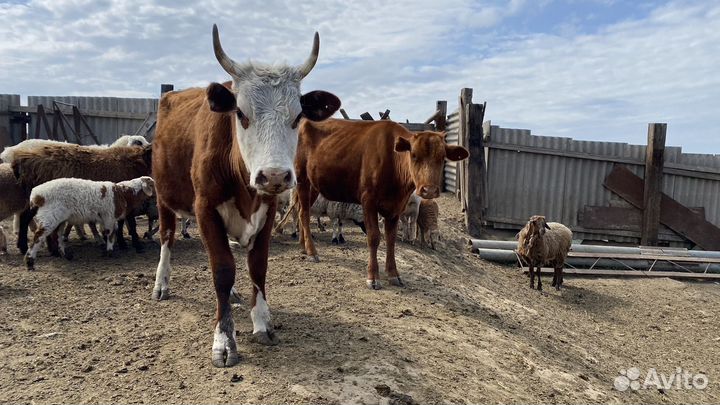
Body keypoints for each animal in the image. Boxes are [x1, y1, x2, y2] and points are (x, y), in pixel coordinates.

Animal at [150, 24, 339, 368]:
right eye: (240, 113)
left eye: (297, 117)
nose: (275, 175)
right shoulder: (205, 208)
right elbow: (222, 269)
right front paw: (224, 338)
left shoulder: (267, 209)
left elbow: (256, 265)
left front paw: (262, 321)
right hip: (163, 197)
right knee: (167, 238)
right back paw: (162, 283)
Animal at [294, 119, 469, 289]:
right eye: (413, 155)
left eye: (442, 157)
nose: (429, 190)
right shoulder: (368, 201)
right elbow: (374, 237)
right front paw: (373, 277)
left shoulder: (396, 208)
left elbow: (391, 239)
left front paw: (393, 274)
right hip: (302, 178)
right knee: (303, 213)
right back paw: (312, 251)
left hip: (314, 185)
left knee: (302, 210)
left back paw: (303, 246)